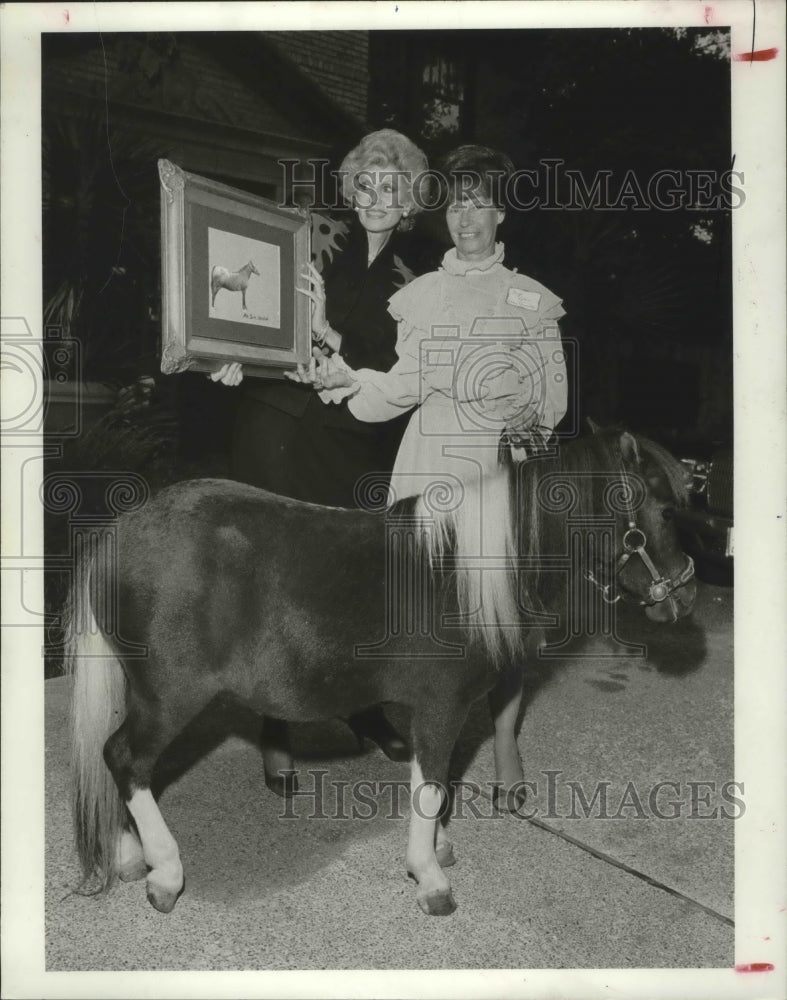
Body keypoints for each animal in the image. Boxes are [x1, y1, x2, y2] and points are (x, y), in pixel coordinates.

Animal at [67, 428, 696, 916]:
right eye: (665, 511)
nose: (682, 598)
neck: (464, 575)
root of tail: (118, 534)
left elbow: (440, 782)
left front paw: (439, 848)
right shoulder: (442, 706)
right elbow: (431, 784)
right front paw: (431, 877)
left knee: (115, 758)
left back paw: (129, 854)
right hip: (170, 696)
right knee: (126, 759)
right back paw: (164, 871)